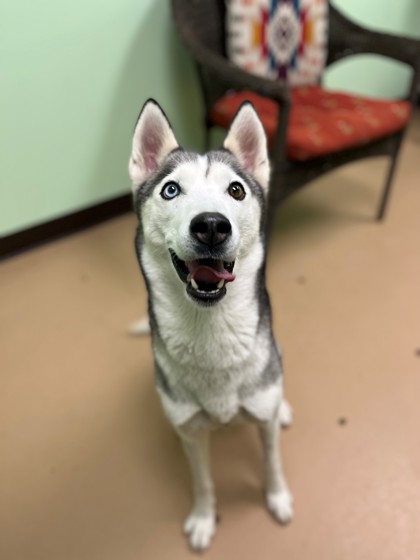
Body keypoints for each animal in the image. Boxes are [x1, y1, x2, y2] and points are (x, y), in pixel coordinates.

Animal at [128, 98, 292, 548]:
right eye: (170, 189)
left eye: (235, 189)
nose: (212, 225)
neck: (212, 330)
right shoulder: (194, 434)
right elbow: (202, 481)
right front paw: (204, 518)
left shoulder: (262, 416)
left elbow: (272, 461)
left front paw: (277, 497)